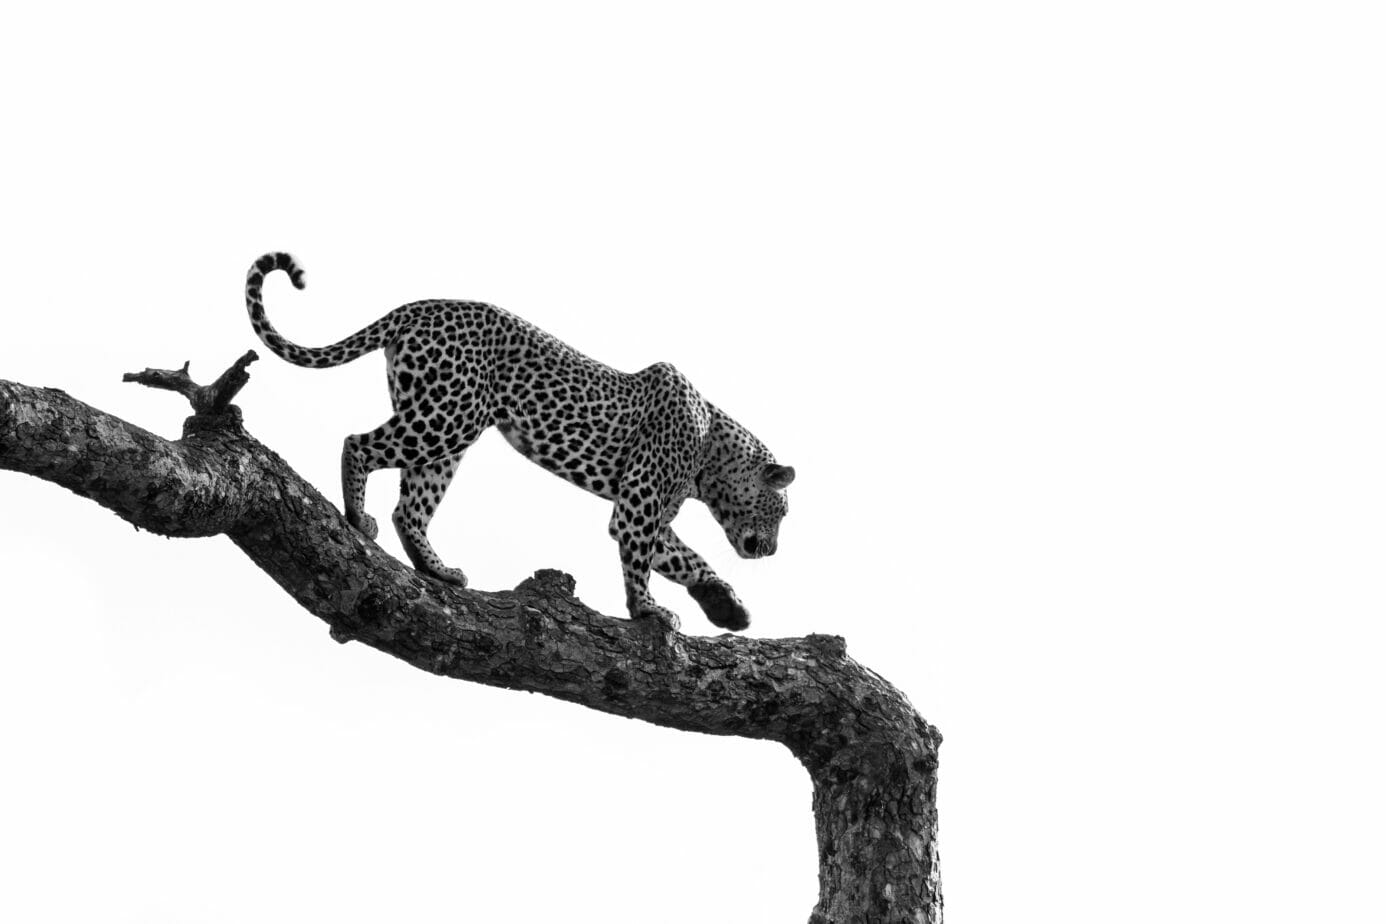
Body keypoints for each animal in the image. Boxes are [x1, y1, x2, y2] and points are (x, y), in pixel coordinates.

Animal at [244, 252, 795, 632]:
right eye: (782, 512)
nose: (770, 551)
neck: (712, 454)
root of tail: (418, 307)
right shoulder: (639, 504)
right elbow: (643, 561)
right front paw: (647, 611)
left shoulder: (649, 510)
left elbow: (685, 558)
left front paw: (727, 607)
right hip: (448, 417)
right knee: (358, 444)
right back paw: (359, 519)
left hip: (446, 430)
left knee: (411, 508)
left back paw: (440, 571)